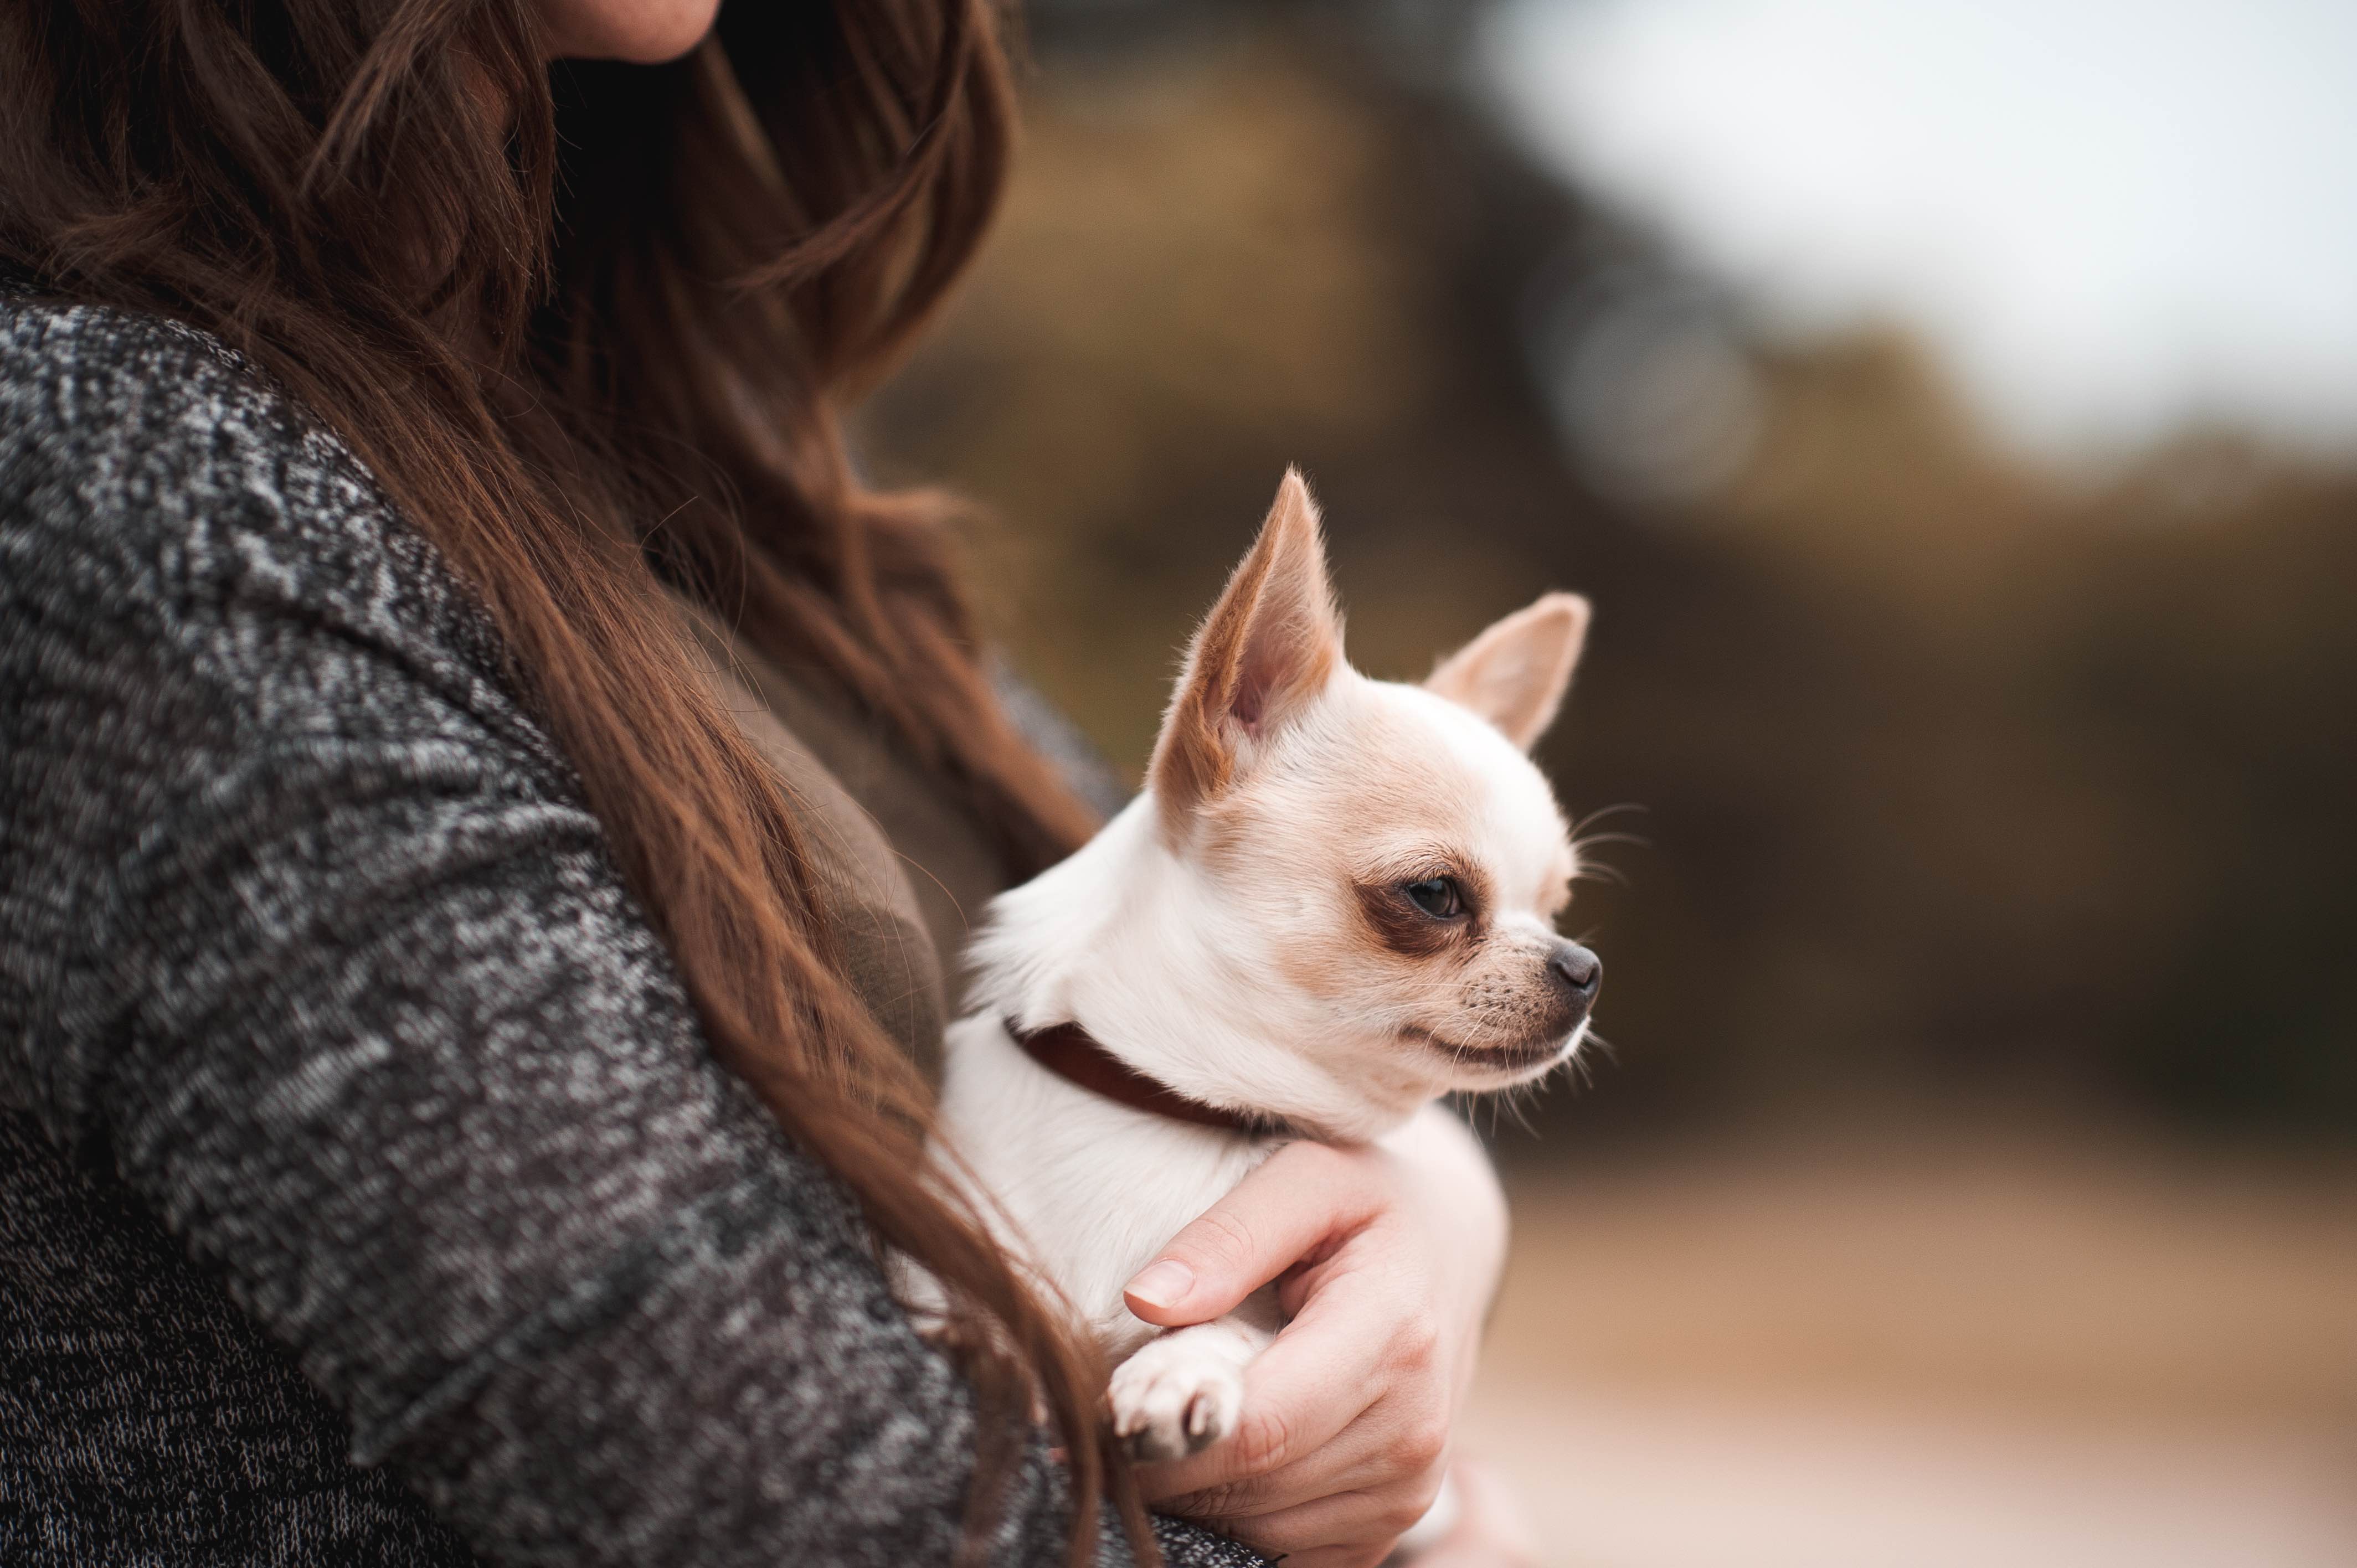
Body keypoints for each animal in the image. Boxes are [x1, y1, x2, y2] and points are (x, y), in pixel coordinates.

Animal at [928, 471, 1593, 1462]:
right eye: (1435, 894)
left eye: (1556, 905)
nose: (1584, 967)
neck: (1182, 1111)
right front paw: (992, 1342)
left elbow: (1240, 1324)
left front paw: (1182, 1367)